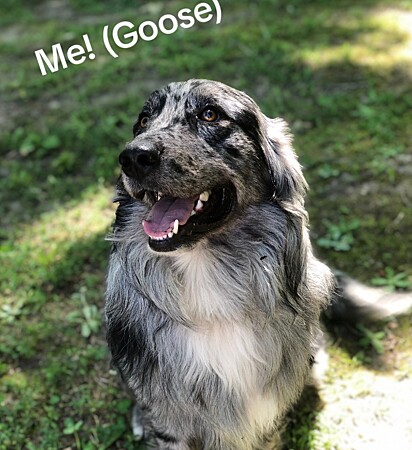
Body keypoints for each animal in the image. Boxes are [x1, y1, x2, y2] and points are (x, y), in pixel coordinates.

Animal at [104, 79, 412, 448]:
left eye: (210, 114)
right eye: (143, 120)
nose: (133, 157)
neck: (205, 275)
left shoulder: (263, 413)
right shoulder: (169, 417)